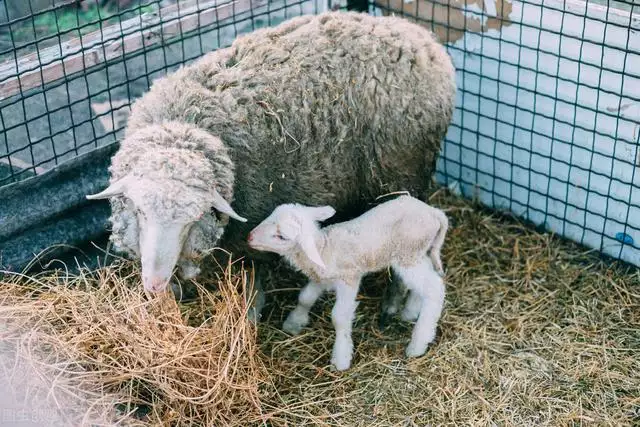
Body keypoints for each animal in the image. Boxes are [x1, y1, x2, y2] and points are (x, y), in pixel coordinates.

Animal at [85, 10, 458, 318]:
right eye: (140, 212)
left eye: (193, 219)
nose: (153, 283)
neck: (185, 125)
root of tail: (422, 38)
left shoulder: (249, 232)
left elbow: (253, 285)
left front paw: (248, 320)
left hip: (401, 174)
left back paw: (392, 305)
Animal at [248, 195, 448, 372]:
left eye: (281, 236)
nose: (249, 237)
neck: (324, 248)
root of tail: (435, 212)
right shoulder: (321, 279)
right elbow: (305, 298)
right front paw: (294, 322)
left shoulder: (349, 279)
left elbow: (339, 317)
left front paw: (341, 358)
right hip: (416, 254)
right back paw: (411, 311)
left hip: (407, 255)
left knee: (435, 288)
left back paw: (418, 344)